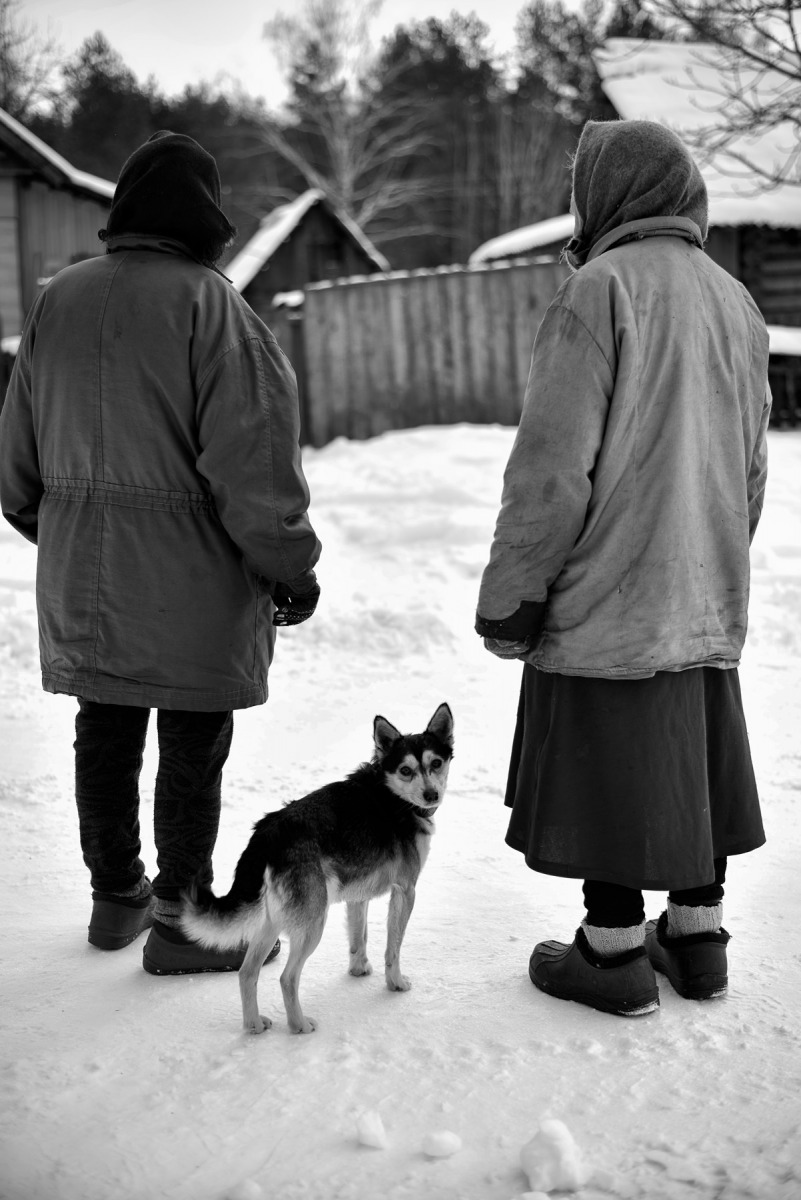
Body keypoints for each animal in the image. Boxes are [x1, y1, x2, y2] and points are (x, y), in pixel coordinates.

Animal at [183, 700, 453, 1032]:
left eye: (436, 763)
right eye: (406, 770)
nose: (431, 795)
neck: (392, 795)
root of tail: (269, 832)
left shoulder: (357, 895)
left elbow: (359, 937)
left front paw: (359, 969)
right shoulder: (405, 891)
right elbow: (393, 947)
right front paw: (396, 983)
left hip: (272, 921)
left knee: (247, 973)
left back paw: (254, 1025)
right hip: (313, 921)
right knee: (287, 978)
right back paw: (299, 1025)